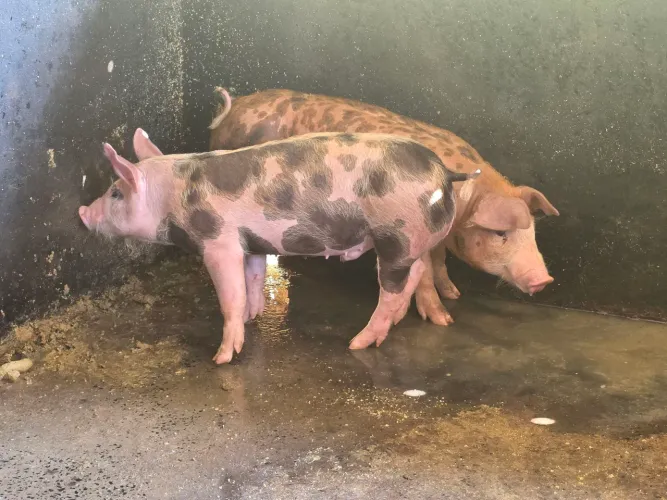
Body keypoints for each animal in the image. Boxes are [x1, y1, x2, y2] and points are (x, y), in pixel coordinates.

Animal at [79, 128, 479, 364]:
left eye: (115, 193)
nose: (82, 211)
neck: (174, 196)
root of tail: (445, 173)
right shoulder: (252, 243)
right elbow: (253, 280)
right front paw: (253, 316)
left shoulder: (218, 241)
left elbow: (230, 294)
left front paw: (222, 357)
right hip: (411, 240)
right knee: (417, 272)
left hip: (397, 234)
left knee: (393, 288)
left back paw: (358, 343)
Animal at [209, 88, 559, 326]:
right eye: (501, 233)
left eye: (532, 232)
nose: (545, 280)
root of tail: (232, 108)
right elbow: (425, 271)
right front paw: (443, 320)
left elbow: (440, 262)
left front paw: (455, 295)